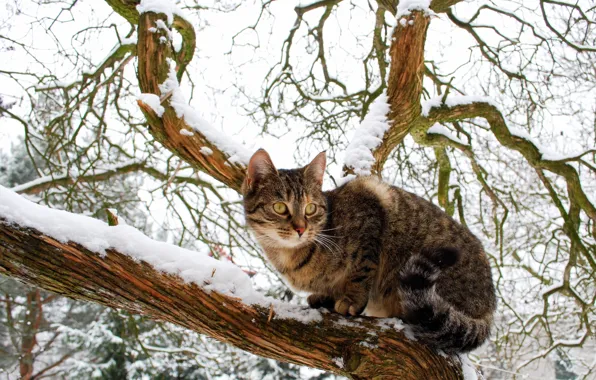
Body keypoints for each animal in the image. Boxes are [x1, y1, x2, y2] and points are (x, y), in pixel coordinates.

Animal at [240, 148, 496, 354]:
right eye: (279, 207)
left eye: (310, 208)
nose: (301, 228)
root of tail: (490, 308)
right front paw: (324, 297)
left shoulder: (368, 204)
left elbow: (361, 268)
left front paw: (352, 299)